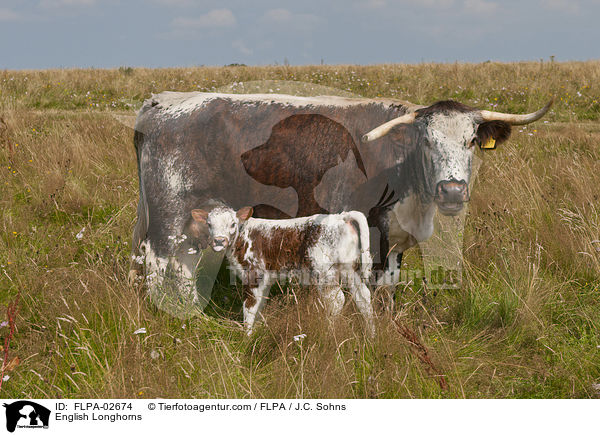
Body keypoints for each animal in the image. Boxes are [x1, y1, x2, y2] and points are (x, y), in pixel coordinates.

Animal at [130, 91, 552, 310]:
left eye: (471, 140)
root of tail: (162, 102)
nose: (451, 191)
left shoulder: (396, 244)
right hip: (170, 215)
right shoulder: (370, 236)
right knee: (163, 264)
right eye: (427, 141)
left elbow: (388, 289)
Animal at [190, 206, 372, 336]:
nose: (219, 241)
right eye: (209, 224)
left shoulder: (253, 274)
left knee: (337, 300)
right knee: (363, 297)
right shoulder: (265, 279)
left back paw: (330, 334)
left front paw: (246, 337)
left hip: (324, 271)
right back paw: (371, 337)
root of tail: (340, 216)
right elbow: (260, 305)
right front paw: (256, 332)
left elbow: (249, 306)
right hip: (349, 268)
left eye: (232, 224)